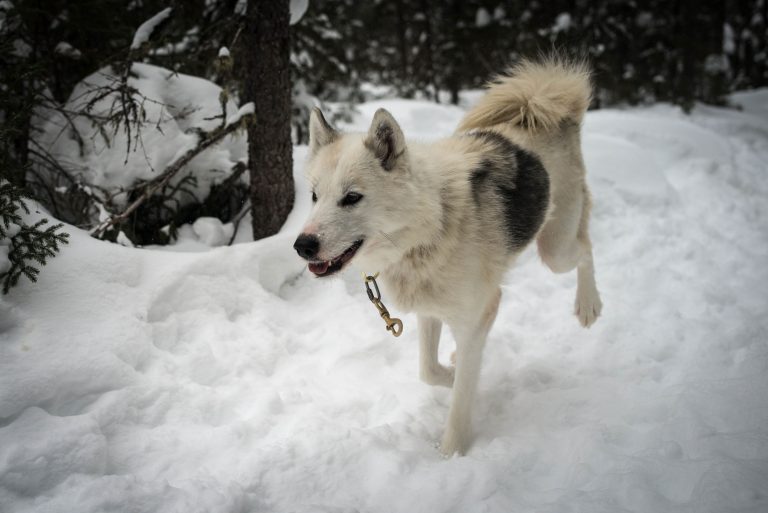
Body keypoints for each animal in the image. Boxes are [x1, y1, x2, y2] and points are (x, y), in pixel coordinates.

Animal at [292, 58, 600, 454]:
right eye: (314, 196)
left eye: (352, 197)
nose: (302, 245)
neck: (432, 225)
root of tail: (543, 107)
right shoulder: (430, 311)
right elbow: (429, 370)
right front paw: (452, 372)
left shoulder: (478, 314)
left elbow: (461, 399)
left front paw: (453, 452)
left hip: (555, 248)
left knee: (586, 248)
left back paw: (589, 305)